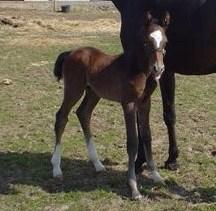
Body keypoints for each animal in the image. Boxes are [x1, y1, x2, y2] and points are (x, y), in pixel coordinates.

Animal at [51, 11, 170, 199]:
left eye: (165, 42)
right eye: (146, 42)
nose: (158, 69)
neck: (137, 69)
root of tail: (71, 52)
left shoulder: (145, 103)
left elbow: (147, 136)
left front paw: (156, 176)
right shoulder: (128, 103)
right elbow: (133, 142)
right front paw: (133, 188)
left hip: (93, 93)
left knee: (83, 113)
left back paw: (98, 164)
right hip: (74, 89)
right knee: (61, 117)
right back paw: (56, 168)